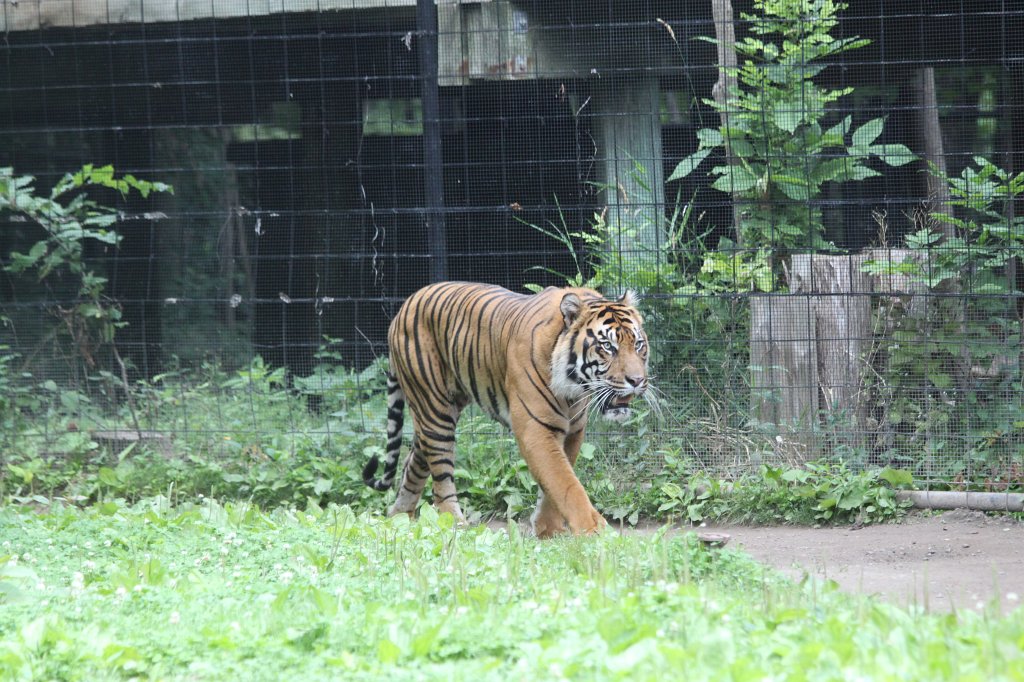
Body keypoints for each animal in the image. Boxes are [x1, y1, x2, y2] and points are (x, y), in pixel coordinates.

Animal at [362, 281, 650, 538]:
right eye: (608, 347)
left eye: (638, 344)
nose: (637, 381)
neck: (573, 387)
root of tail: (405, 305)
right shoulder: (536, 429)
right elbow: (566, 483)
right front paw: (592, 529)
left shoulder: (572, 431)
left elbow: (554, 483)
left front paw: (548, 530)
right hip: (435, 410)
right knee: (441, 476)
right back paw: (454, 524)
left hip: (436, 411)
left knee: (413, 460)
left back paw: (400, 518)